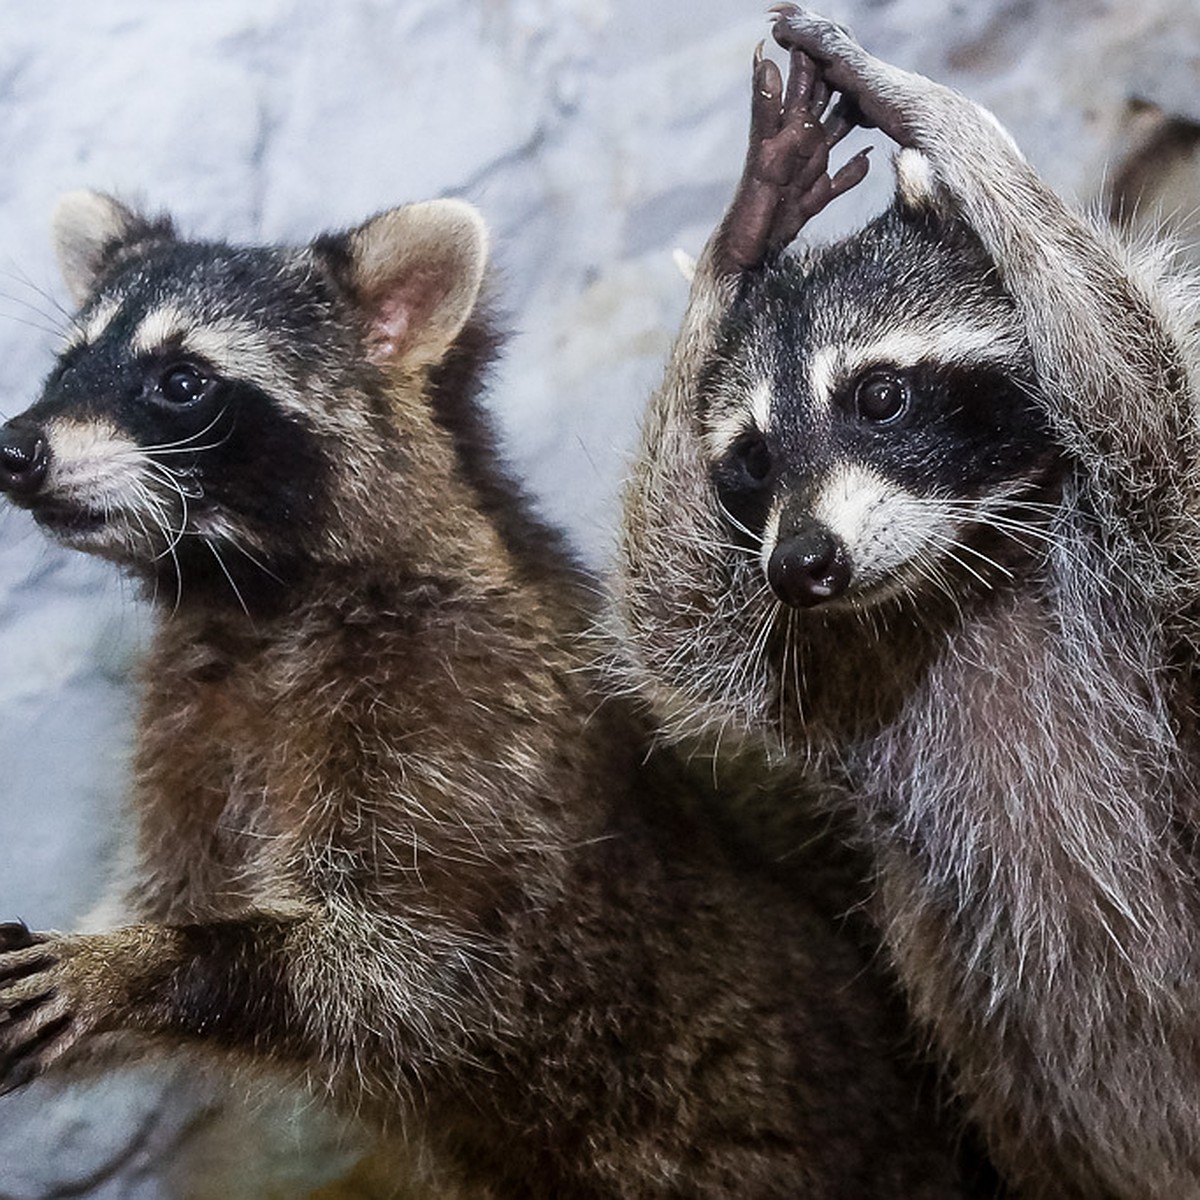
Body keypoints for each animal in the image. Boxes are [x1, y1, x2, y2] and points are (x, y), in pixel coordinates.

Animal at [0, 182, 984, 1195]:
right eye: (68, 362)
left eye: (181, 381)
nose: (16, 447)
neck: (245, 604)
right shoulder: (194, 724)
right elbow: (179, 885)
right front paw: (124, 943)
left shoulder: (456, 712)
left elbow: (409, 970)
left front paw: (145, 963)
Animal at [619, 9, 1200, 1200]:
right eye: (750, 462)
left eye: (879, 396)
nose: (803, 565)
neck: (963, 582)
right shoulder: (835, 676)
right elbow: (676, 619)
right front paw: (739, 245)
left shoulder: (1157, 571)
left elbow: (1143, 402)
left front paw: (945, 120)